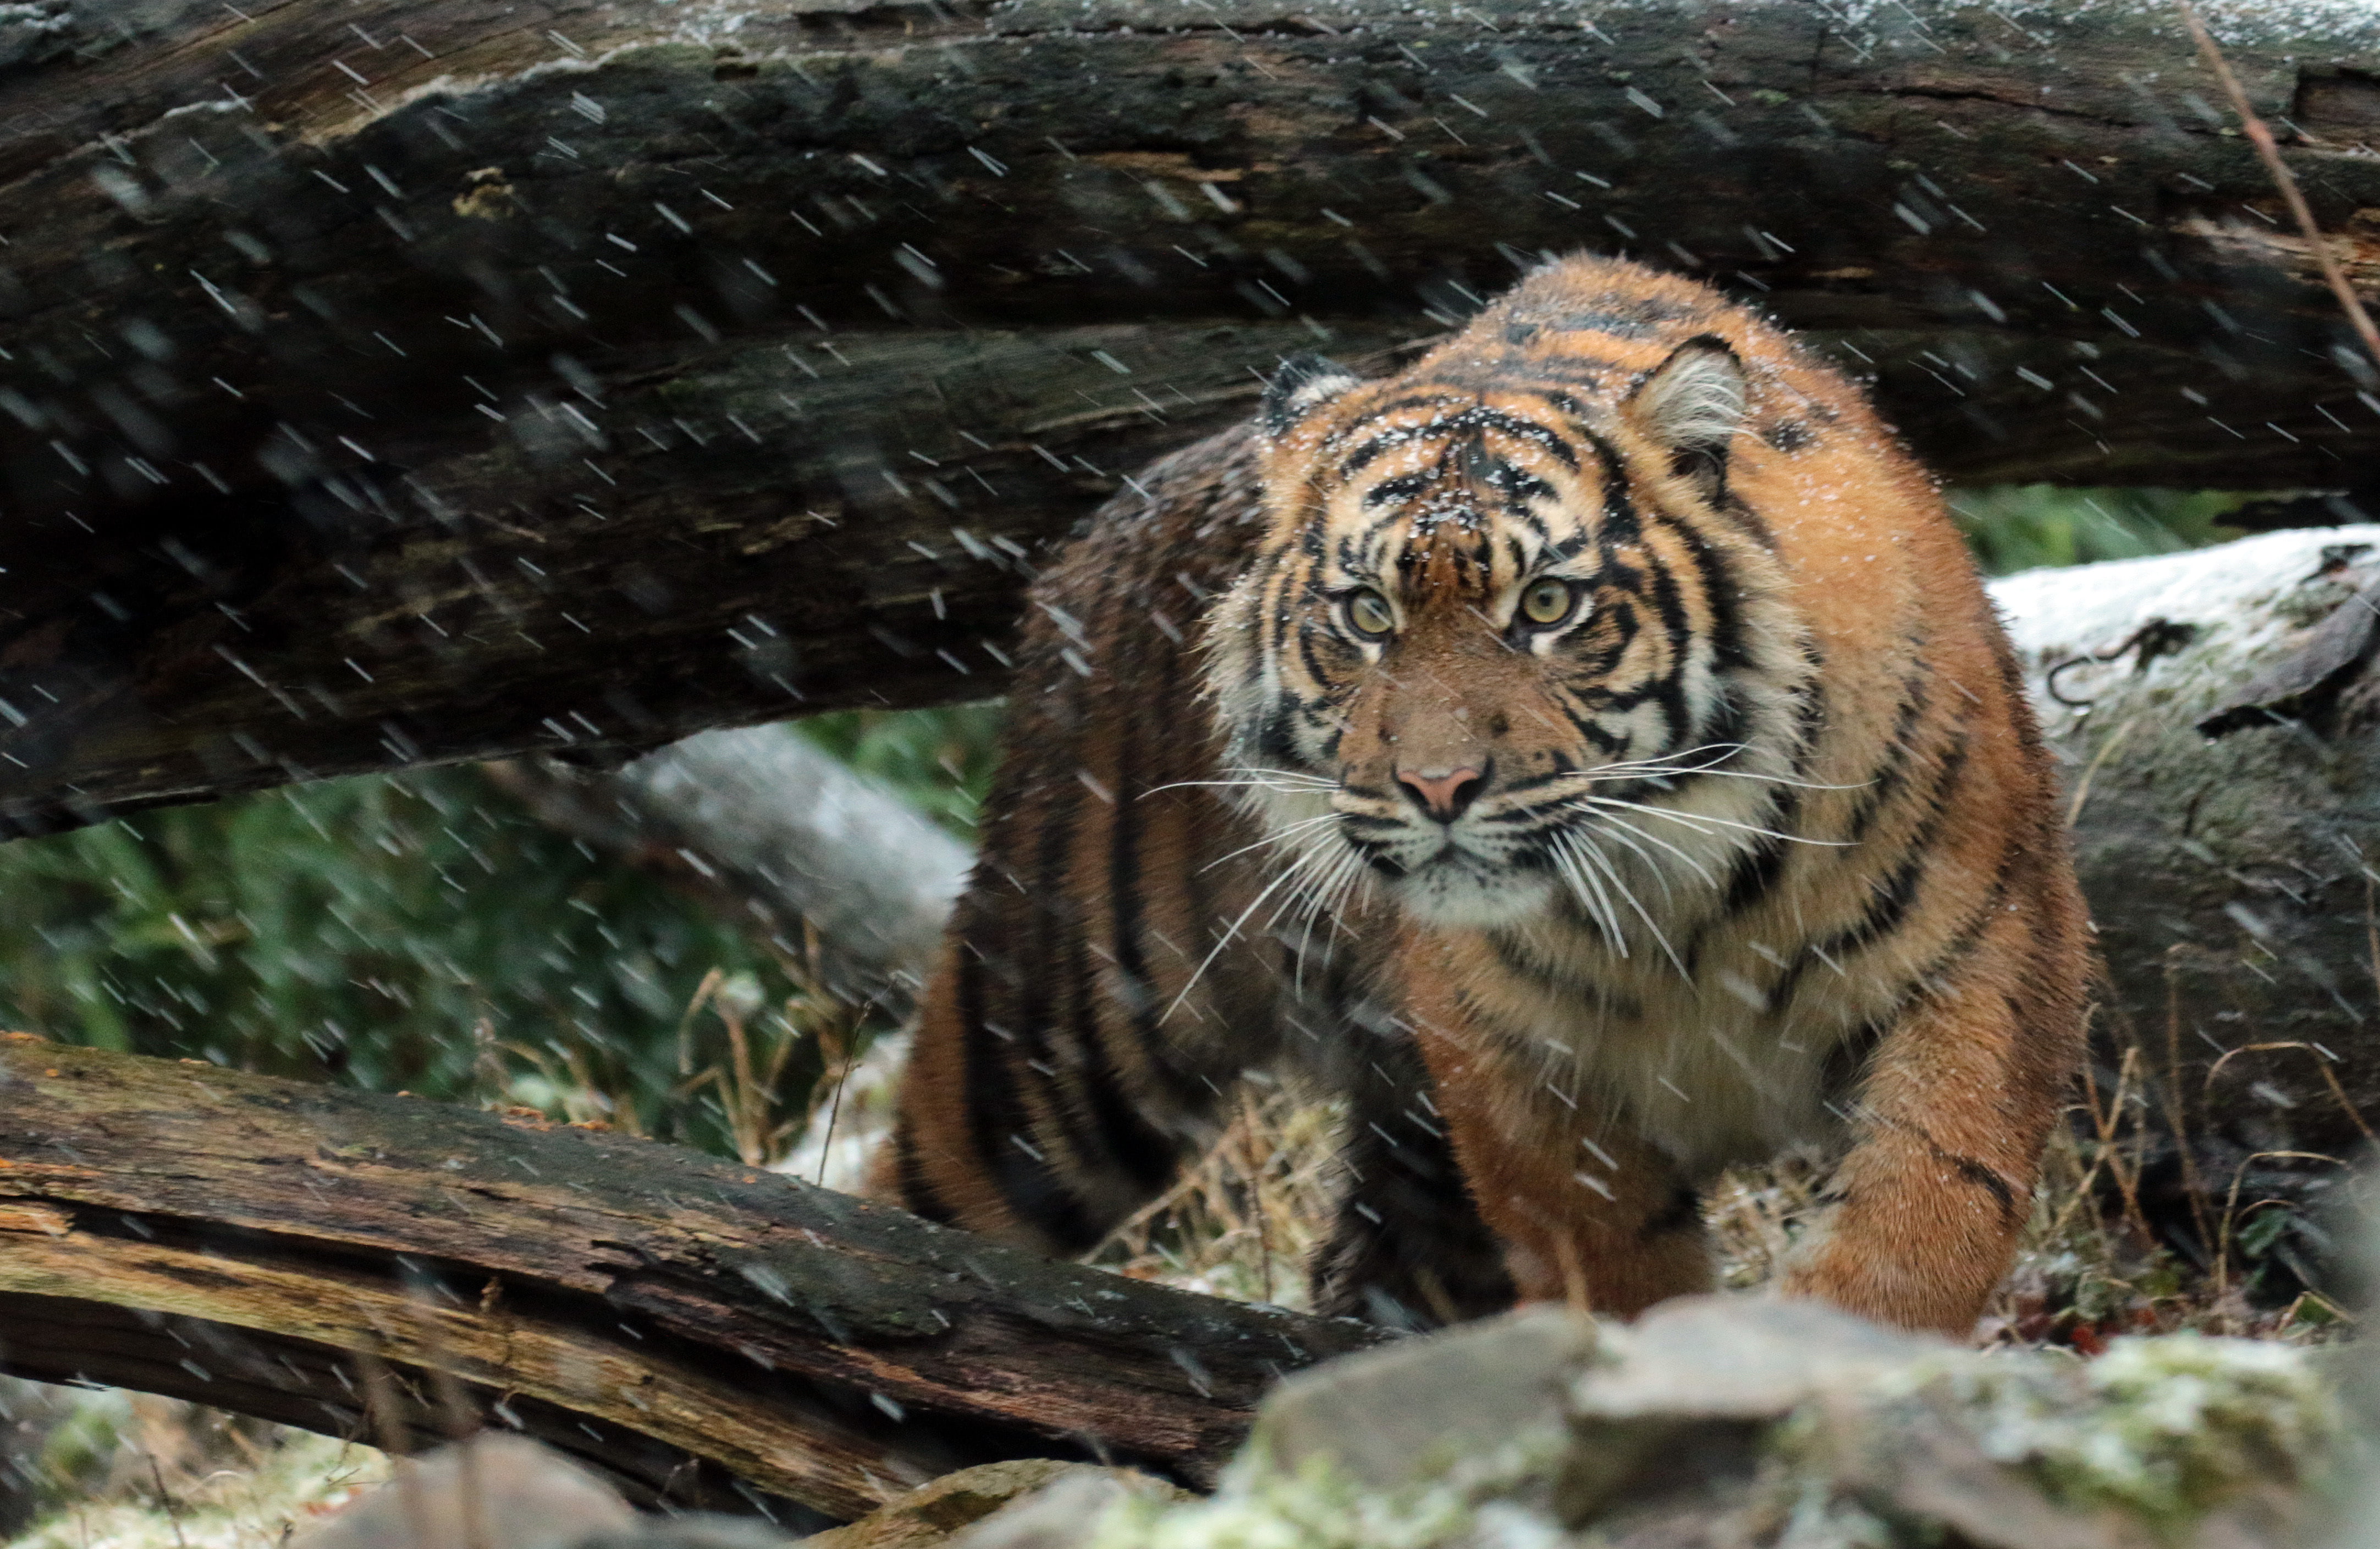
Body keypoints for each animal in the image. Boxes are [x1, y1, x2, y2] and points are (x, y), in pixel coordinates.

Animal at [868, 253, 2090, 1338]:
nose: (1438, 785)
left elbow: (1922, 1220)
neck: (1678, 901)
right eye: (1365, 615)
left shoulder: (1986, 954)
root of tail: (1093, 528)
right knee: (913, 1204)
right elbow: (1611, 1258)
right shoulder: (1506, 1061)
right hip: (1059, 1035)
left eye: (1546, 605)